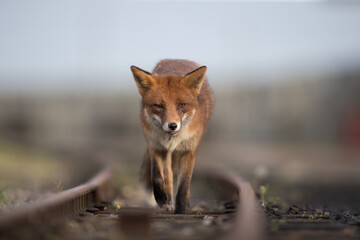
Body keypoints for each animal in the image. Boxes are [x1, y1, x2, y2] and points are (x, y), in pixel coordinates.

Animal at [130, 60, 212, 214]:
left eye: (182, 105)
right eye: (158, 106)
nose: (172, 125)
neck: (172, 140)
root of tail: (177, 59)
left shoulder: (188, 151)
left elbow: (184, 186)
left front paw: (181, 210)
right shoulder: (155, 146)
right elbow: (157, 177)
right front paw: (162, 199)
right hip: (167, 155)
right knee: (168, 176)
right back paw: (168, 201)